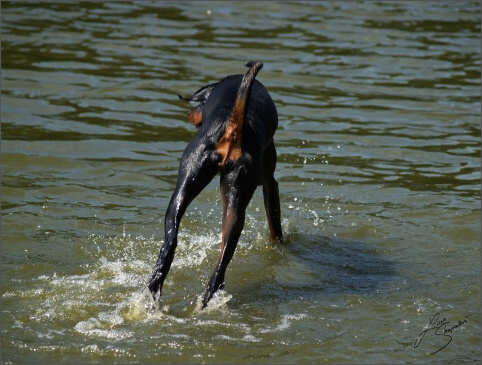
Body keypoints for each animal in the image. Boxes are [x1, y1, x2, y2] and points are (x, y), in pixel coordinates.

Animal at [148, 61, 282, 308]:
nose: (189, 113)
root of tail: (233, 127)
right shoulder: (271, 183)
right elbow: (275, 228)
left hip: (189, 183)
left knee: (173, 244)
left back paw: (157, 287)